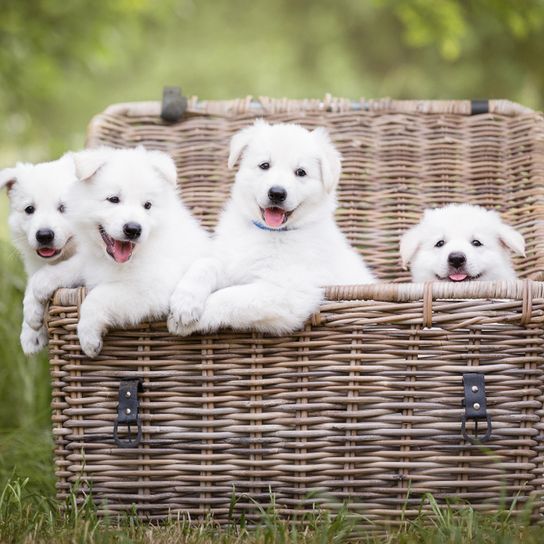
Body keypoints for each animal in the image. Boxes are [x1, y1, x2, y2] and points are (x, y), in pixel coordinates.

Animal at [0, 155, 77, 354]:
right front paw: (31, 329)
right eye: (29, 209)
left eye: (64, 207)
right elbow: (31, 281)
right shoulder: (35, 264)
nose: (44, 235)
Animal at [24, 146, 209, 356]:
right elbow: (68, 267)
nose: (133, 229)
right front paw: (38, 291)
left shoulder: (151, 289)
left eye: (147, 205)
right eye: (113, 199)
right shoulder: (91, 261)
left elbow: (97, 296)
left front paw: (88, 337)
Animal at [168, 119, 376, 336]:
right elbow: (206, 264)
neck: (268, 232)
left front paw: (182, 320)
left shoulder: (288, 291)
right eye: (264, 165)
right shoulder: (233, 263)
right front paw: (185, 301)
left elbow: (229, 296)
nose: (277, 193)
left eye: (300, 172)